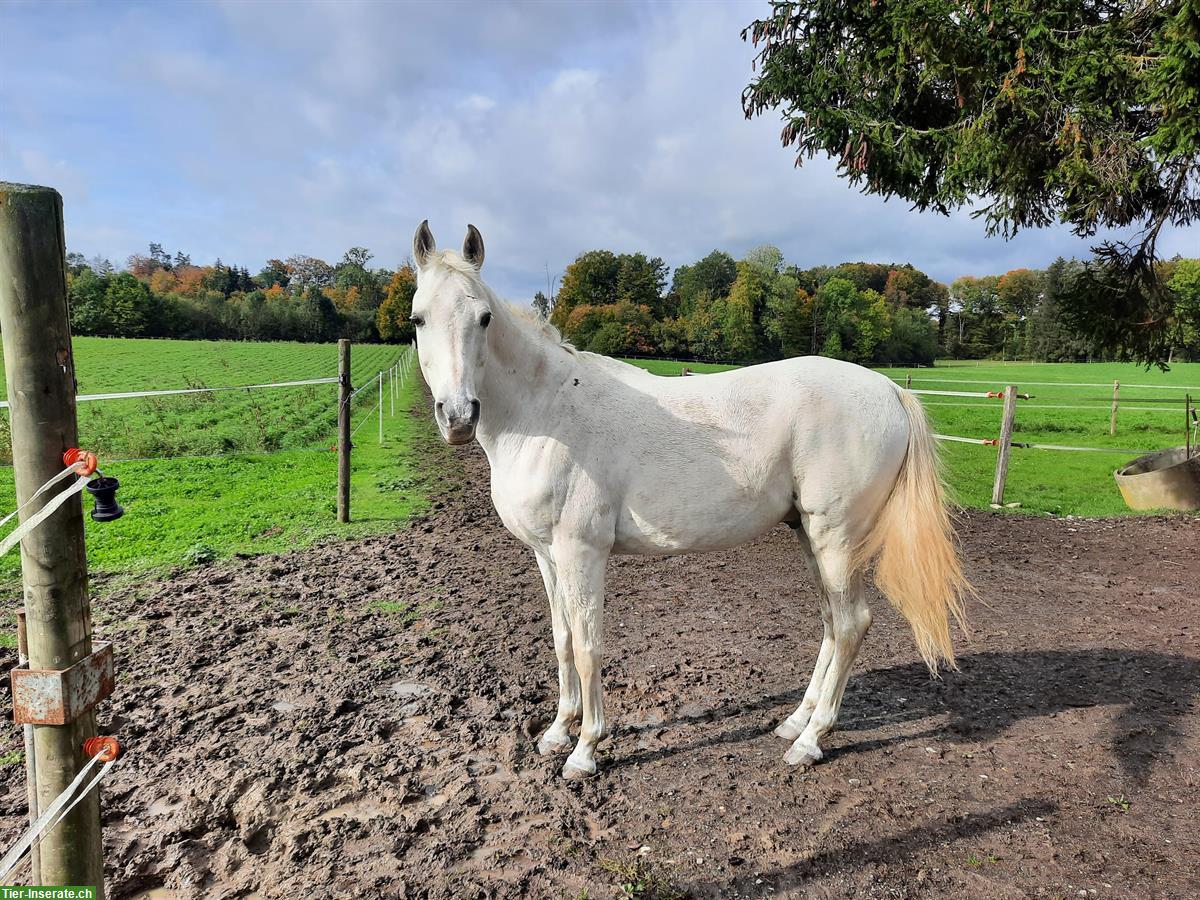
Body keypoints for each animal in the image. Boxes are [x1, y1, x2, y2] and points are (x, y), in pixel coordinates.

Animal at [408, 222, 969, 777]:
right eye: (417, 319)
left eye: (483, 317)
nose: (458, 416)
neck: (546, 413)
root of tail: (890, 391)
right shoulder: (547, 556)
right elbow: (562, 640)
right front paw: (556, 732)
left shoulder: (580, 552)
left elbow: (588, 647)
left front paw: (585, 749)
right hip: (810, 536)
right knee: (832, 622)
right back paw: (794, 722)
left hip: (836, 539)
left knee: (852, 624)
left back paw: (811, 740)